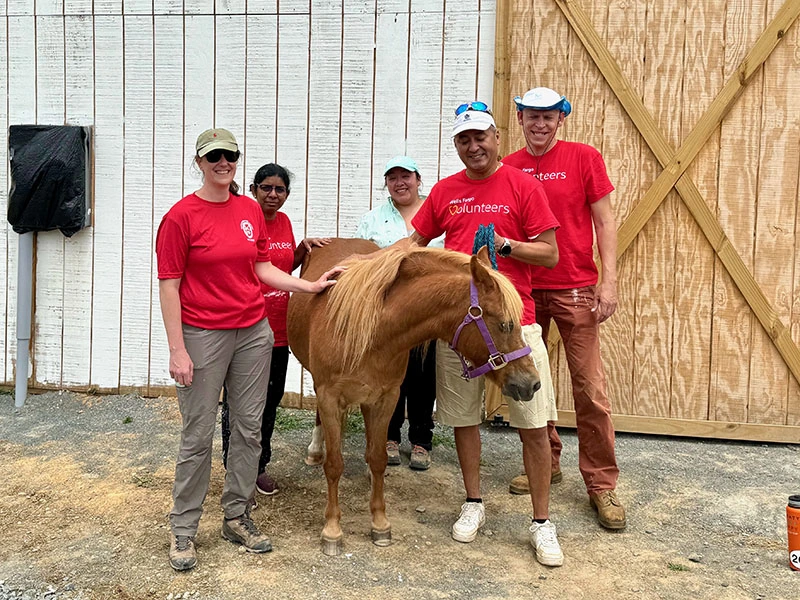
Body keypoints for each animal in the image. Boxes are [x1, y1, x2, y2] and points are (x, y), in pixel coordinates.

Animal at [286, 237, 536, 556]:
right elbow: (334, 465)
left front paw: (379, 523)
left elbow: (378, 458)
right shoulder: (330, 396)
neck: (373, 330)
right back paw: (316, 449)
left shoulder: (385, 398)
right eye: (505, 324)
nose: (532, 383)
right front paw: (332, 529)